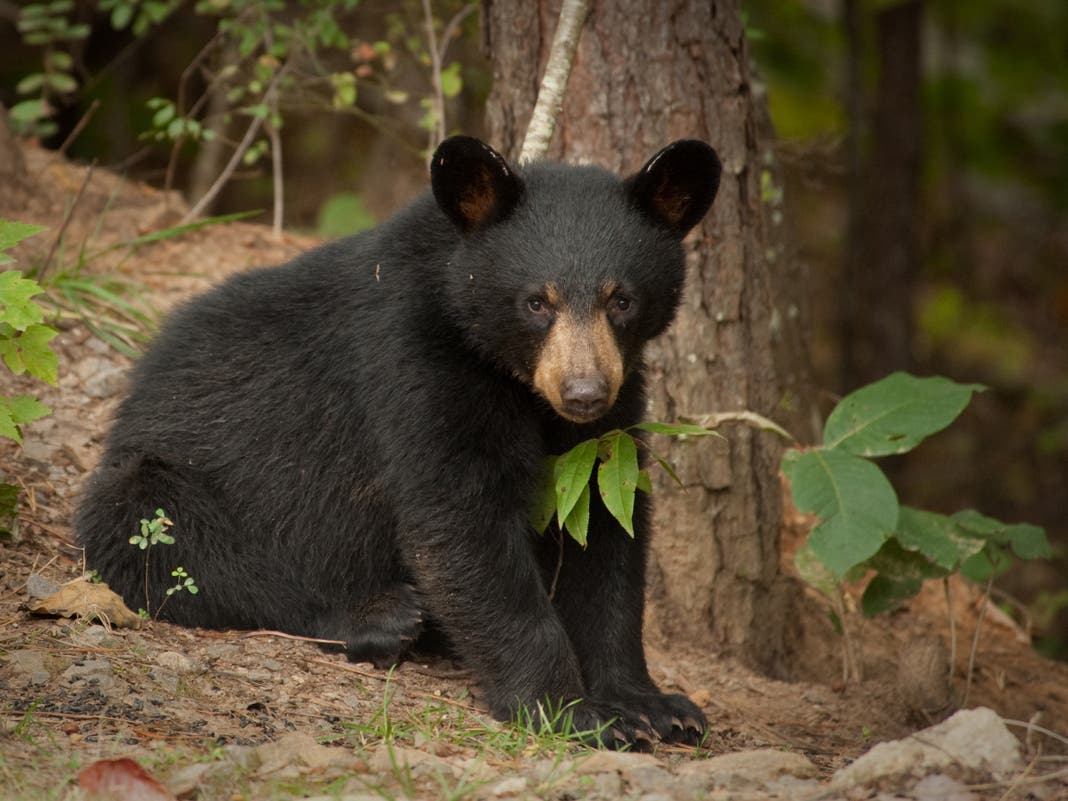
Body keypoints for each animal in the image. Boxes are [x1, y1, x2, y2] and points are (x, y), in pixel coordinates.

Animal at [76, 135, 722, 748]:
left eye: (622, 299)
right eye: (537, 302)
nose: (584, 392)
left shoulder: (608, 419)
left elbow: (606, 526)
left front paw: (651, 706)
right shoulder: (415, 364)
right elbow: (459, 525)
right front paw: (572, 712)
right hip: (157, 478)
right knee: (163, 541)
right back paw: (379, 617)